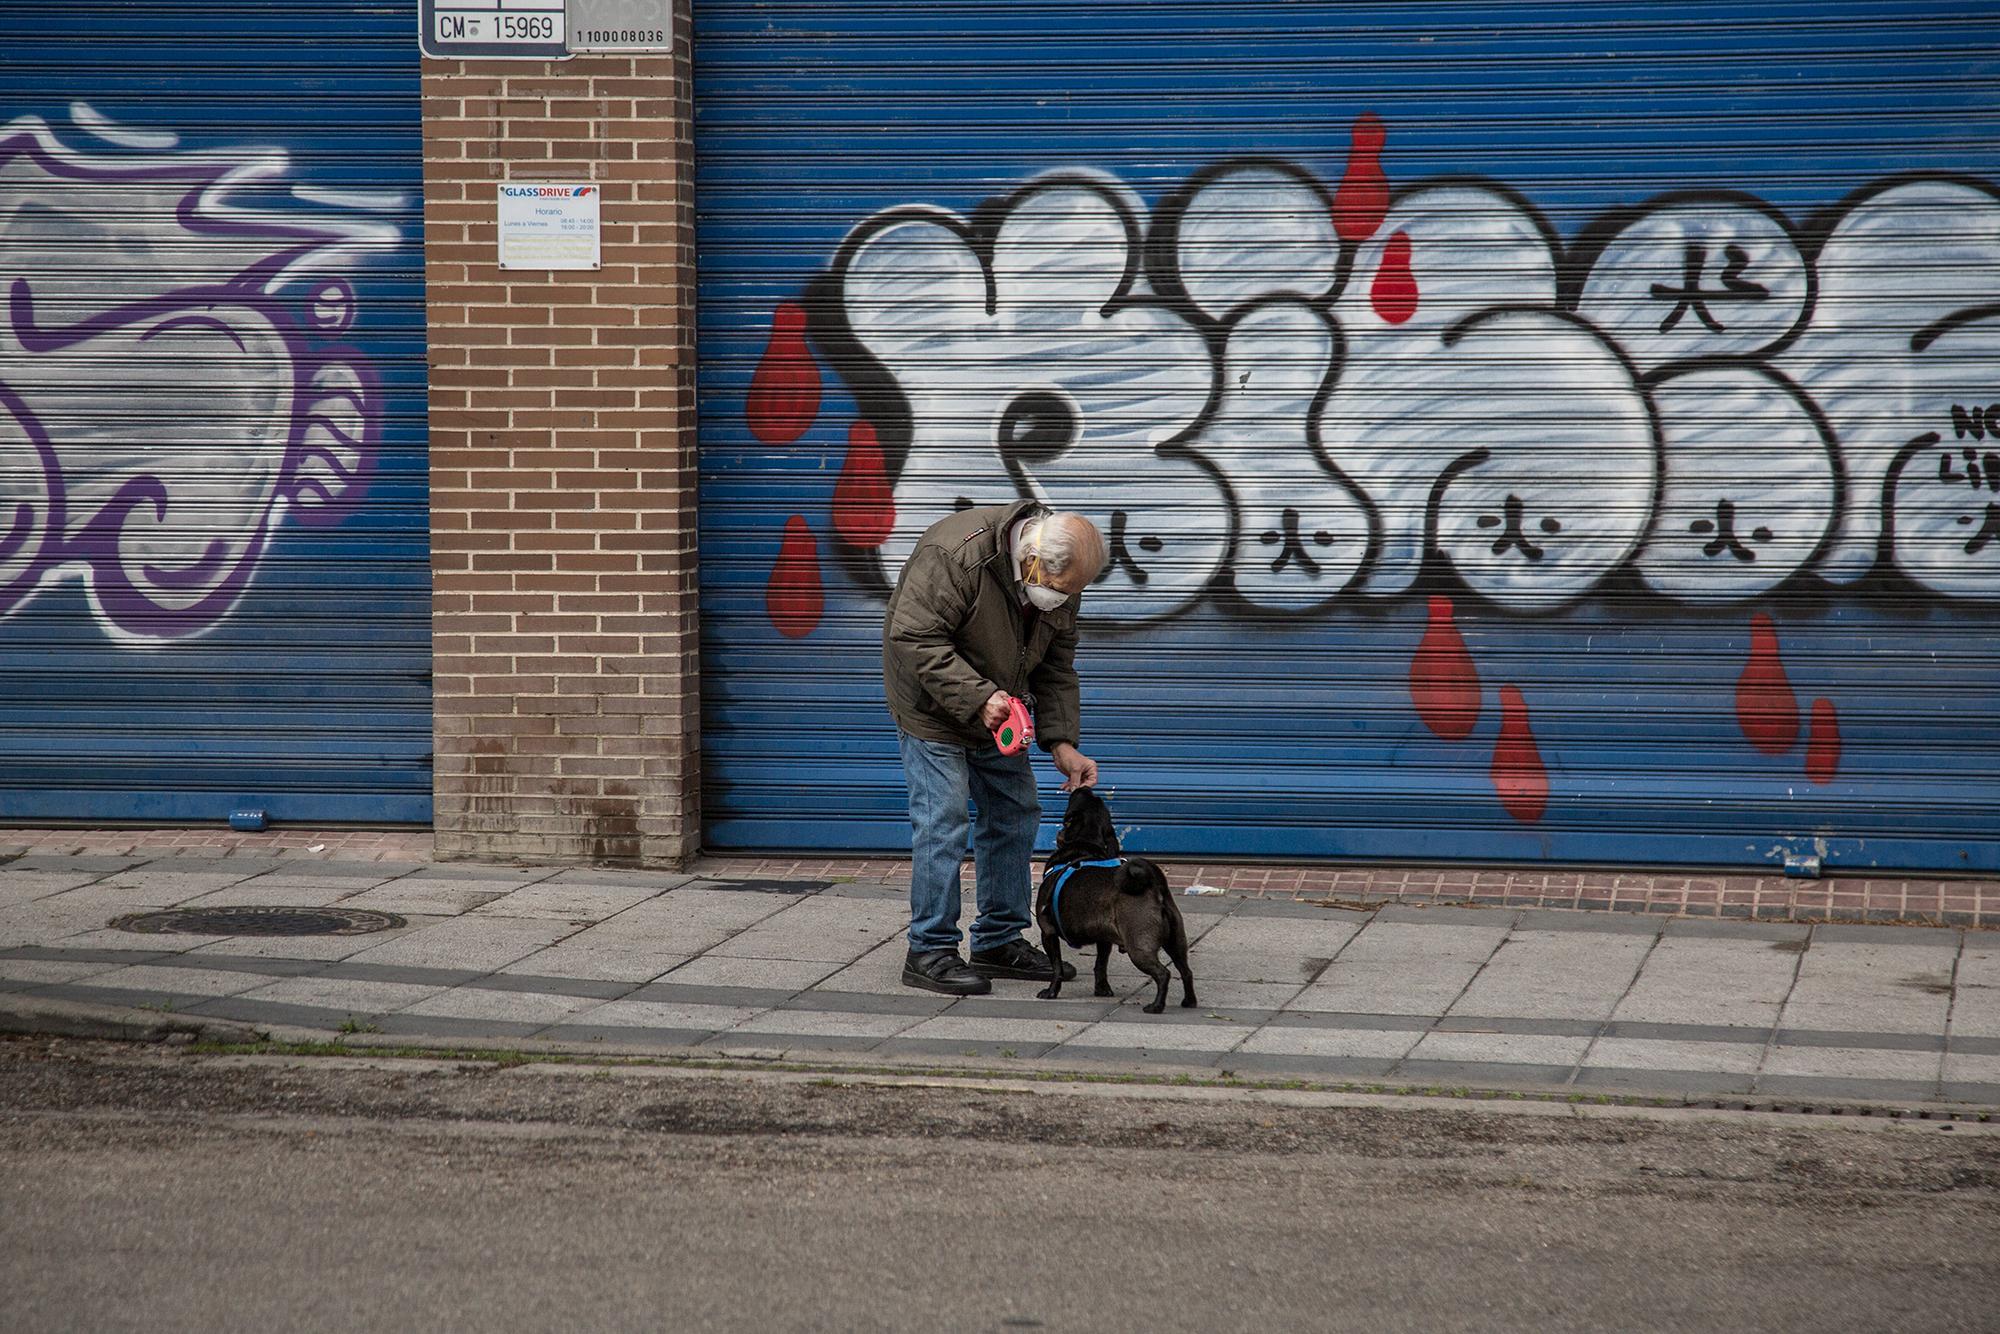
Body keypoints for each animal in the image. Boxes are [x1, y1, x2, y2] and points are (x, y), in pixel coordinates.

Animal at [1040, 788, 1192, 1016]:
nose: (1084, 788)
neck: (1083, 845)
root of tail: (1155, 886)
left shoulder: (1047, 932)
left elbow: (1056, 967)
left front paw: (1051, 991)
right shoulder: (1104, 938)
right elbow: (1100, 965)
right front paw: (1102, 989)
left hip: (1138, 947)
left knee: (1163, 974)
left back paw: (1156, 1006)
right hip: (1176, 943)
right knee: (1186, 971)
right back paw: (1189, 1001)